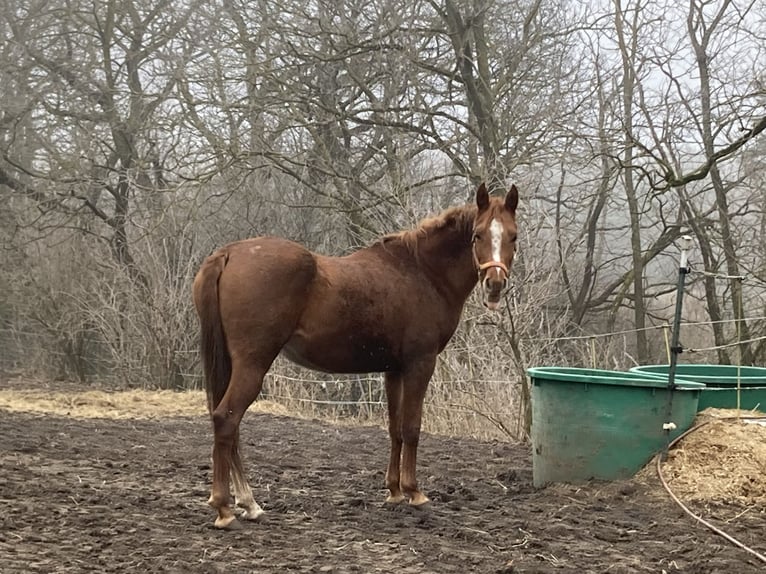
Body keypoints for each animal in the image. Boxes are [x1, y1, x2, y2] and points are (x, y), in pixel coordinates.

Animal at [192, 183, 520, 532]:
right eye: (478, 235)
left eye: (513, 236)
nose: (495, 284)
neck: (422, 272)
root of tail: (228, 254)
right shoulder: (420, 364)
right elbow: (412, 427)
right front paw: (414, 492)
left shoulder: (393, 370)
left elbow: (395, 428)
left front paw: (394, 492)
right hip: (253, 365)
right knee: (227, 419)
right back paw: (225, 507)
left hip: (233, 364)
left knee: (229, 425)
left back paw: (248, 503)